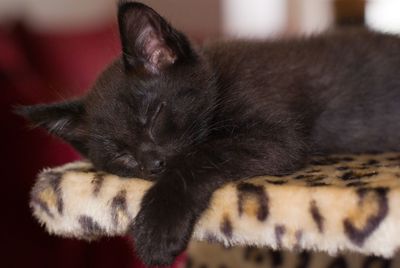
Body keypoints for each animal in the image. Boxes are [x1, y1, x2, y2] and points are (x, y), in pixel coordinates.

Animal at [18, 0, 400, 266]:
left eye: (153, 114)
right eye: (119, 153)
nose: (151, 163)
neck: (218, 80)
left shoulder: (278, 136)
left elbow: (198, 155)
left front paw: (156, 227)